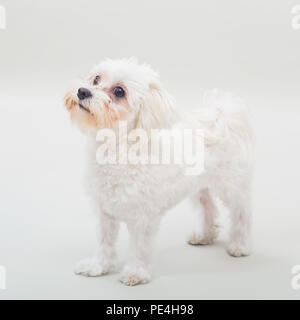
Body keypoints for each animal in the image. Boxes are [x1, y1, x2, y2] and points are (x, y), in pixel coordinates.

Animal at [63, 57, 253, 284]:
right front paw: (98, 266)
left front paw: (136, 272)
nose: (83, 91)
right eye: (96, 79)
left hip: (231, 186)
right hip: (198, 186)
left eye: (119, 91)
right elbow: (104, 242)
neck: (118, 149)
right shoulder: (105, 212)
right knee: (208, 207)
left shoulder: (144, 216)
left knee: (241, 212)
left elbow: (139, 247)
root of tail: (223, 117)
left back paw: (240, 245)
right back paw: (204, 236)